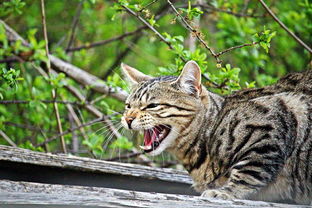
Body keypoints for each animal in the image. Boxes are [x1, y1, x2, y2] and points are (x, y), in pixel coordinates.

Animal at [120, 61, 312, 204]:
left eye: (152, 105)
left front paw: (225, 192)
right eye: (128, 106)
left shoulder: (274, 121)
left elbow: (249, 172)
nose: (128, 119)